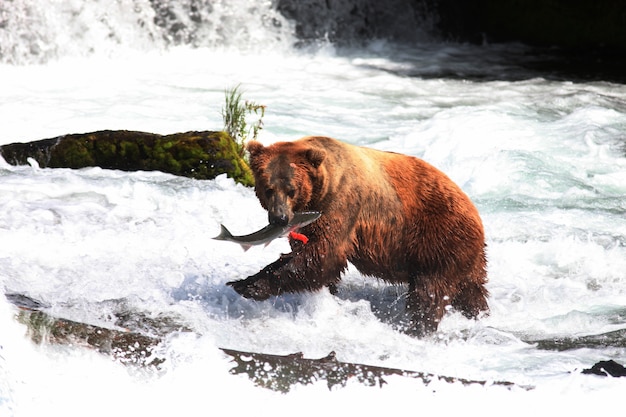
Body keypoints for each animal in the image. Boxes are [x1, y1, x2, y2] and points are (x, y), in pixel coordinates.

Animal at [227, 136, 486, 334]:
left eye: (292, 190)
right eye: (268, 188)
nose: (280, 218)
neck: (320, 191)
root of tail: (476, 213)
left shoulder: (341, 205)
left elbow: (322, 255)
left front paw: (246, 284)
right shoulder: (309, 221)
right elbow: (310, 257)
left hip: (439, 238)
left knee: (429, 291)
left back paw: (418, 328)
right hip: (464, 256)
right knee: (471, 291)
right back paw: (477, 314)